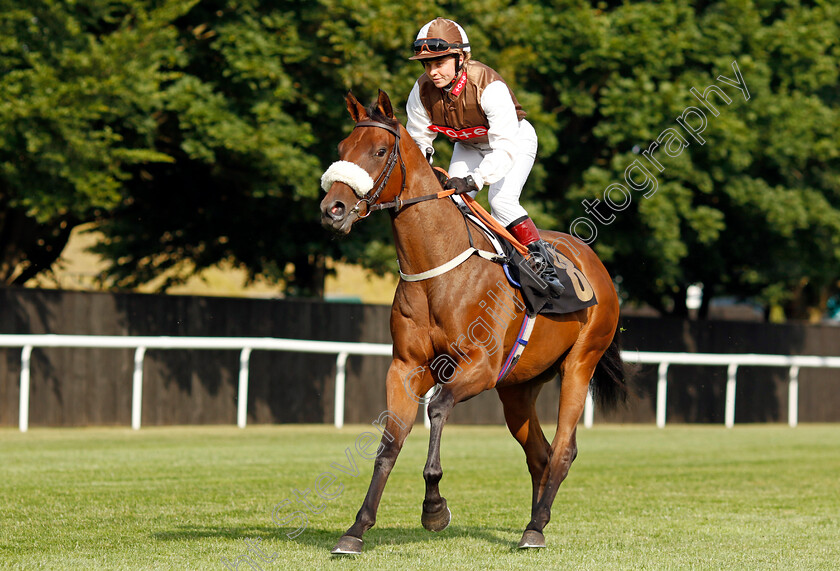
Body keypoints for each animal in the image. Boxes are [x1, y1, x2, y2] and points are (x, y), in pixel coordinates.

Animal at [318, 89, 628, 556]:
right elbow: (389, 442)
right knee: (538, 453)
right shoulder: (406, 368)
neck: (437, 270)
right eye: (341, 148)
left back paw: (535, 527)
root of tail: (596, 264)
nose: (332, 209)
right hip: (518, 387)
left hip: (580, 362)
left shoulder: (478, 367)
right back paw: (536, 519)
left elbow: (438, 408)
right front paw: (356, 528)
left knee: (563, 449)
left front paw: (434, 509)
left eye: (379, 151)